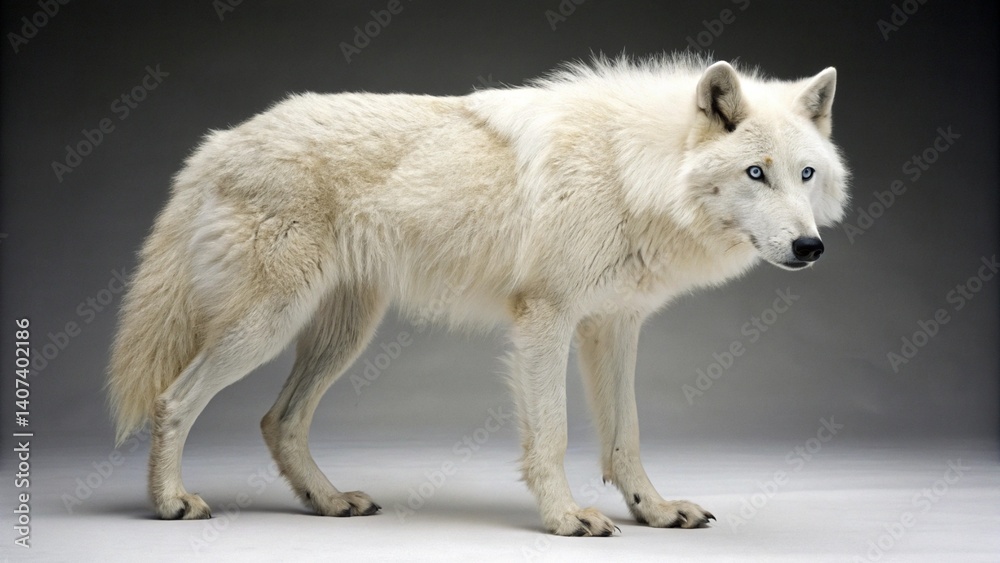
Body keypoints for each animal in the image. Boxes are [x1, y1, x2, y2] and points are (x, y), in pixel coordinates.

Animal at [108, 54, 849, 536]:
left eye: (806, 174)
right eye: (755, 173)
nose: (810, 248)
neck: (631, 169)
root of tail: (220, 142)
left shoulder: (614, 327)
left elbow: (625, 438)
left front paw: (655, 511)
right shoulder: (545, 321)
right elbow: (552, 435)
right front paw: (565, 518)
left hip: (342, 335)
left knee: (278, 420)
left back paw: (329, 502)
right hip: (266, 325)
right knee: (174, 399)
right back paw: (172, 503)